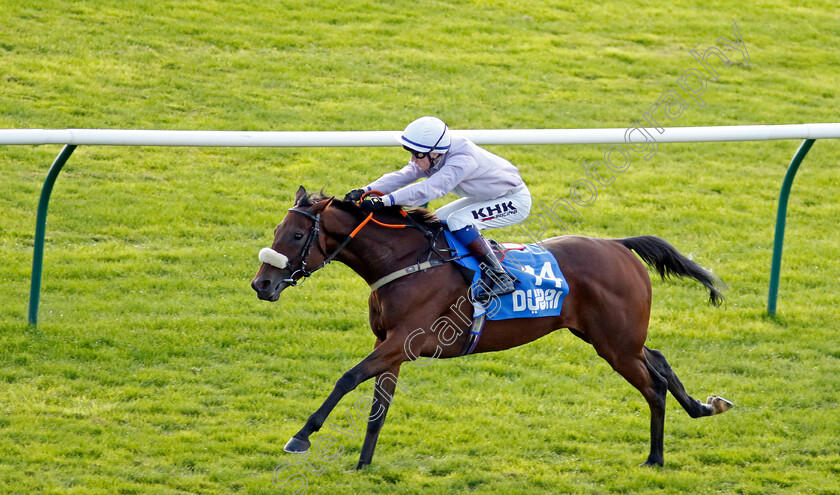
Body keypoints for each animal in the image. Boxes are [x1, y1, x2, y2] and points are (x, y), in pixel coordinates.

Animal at [249, 186, 728, 468]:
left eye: (296, 237)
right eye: (276, 230)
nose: (262, 284)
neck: (406, 263)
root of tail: (618, 245)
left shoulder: (404, 341)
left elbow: (347, 378)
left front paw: (300, 438)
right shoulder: (390, 344)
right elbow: (378, 408)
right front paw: (364, 464)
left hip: (616, 344)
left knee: (653, 386)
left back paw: (655, 458)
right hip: (612, 337)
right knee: (659, 359)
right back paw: (705, 407)